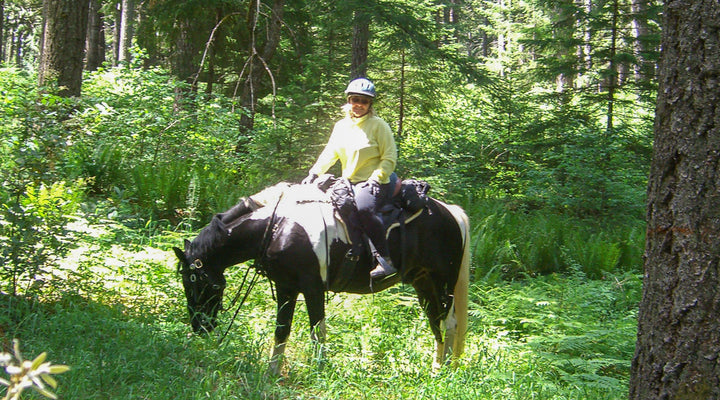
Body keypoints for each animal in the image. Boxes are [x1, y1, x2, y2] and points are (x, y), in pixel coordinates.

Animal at [173, 181, 470, 374]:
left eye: (195, 282)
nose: (200, 327)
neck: (279, 227)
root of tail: (451, 212)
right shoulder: (286, 287)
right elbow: (282, 329)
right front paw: (272, 372)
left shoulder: (313, 287)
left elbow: (317, 331)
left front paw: (319, 371)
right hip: (423, 283)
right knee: (435, 322)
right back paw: (436, 369)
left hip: (443, 283)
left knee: (449, 323)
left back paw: (447, 372)